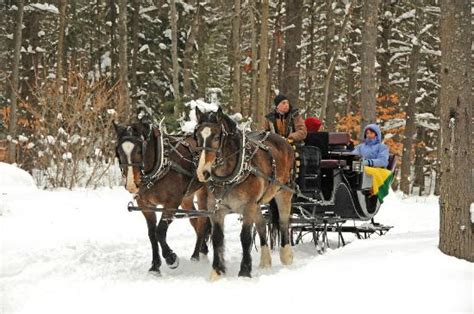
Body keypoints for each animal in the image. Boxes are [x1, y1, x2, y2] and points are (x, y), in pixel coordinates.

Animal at [113, 120, 209, 274]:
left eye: (139, 151)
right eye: (119, 152)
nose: (131, 184)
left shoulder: (172, 203)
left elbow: (160, 231)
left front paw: (171, 258)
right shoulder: (145, 206)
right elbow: (152, 234)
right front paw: (155, 266)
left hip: (203, 192)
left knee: (203, 220)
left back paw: (195, 256)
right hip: (187, 198)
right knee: (195, 219)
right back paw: (202, 250)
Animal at [194, 108, 294, 280]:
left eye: (216, 137)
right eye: (198, 137)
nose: (203, 172)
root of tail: (283, 141)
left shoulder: (247, 206)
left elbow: (245, 237)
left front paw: (245, 271)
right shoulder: (216, 209)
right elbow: (217, 238)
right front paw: (217, 271)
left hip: (283, 192)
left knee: (283, 222)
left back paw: (286, 256)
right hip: (258, 203)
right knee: (261, 225)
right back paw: (265, 261)